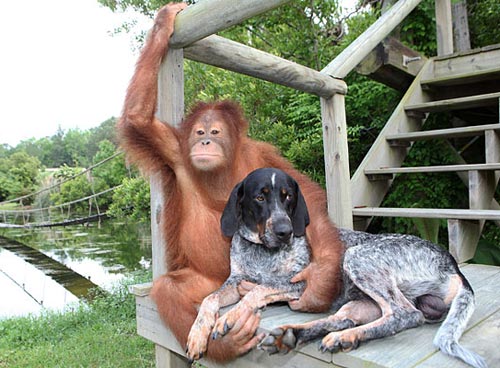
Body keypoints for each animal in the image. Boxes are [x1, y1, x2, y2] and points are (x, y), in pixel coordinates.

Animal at [187, 167, 312, 362]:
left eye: (288, 196)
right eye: (260, 198)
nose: (285, 232)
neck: (263, 251)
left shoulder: (297, 282)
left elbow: (258, 289)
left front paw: (229, 316)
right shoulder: (235, 281)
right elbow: (209, 298)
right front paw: (197, 334)